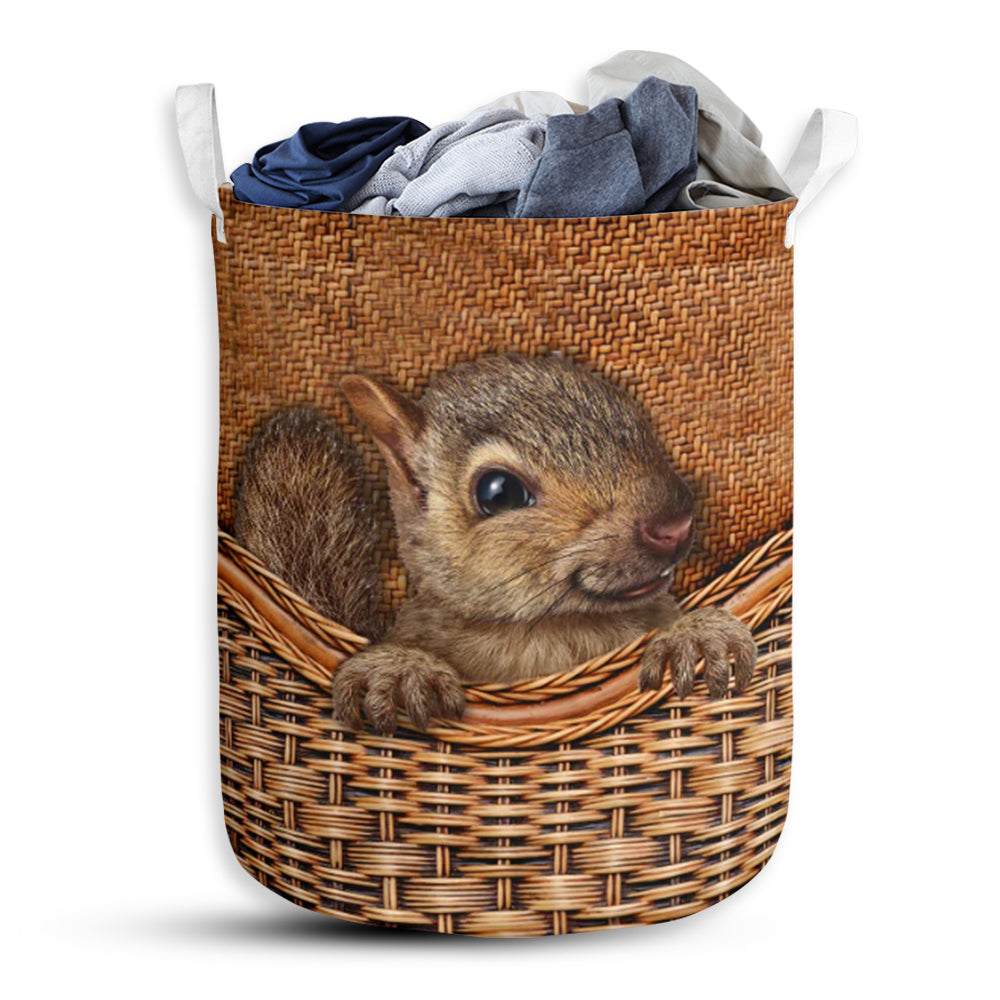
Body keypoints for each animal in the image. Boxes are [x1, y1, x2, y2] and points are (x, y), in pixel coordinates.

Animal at [235, 353, 756, 734]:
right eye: (498, 492)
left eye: (638, 426)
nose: (674, 525)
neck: (546, 636)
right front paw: (399, 672)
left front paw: (698, 634)